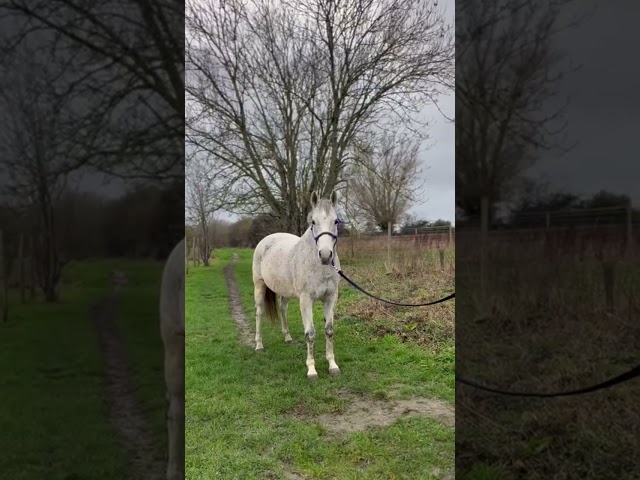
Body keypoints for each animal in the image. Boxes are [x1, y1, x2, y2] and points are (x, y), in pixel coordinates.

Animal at [252, 191, 342, 381]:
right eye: (313, 222)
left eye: (336, 221)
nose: (325, 255)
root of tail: (267, 239)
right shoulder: (306, 300)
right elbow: (310, 334)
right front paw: (312, 370)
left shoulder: (331, 298)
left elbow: (329, 331)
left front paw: (332, 365)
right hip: (259, 286)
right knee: (259, 313)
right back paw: (259, 345)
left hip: (285, 291)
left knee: (283, 309)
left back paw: (287, 337)